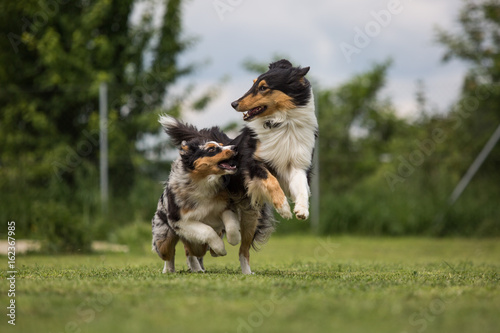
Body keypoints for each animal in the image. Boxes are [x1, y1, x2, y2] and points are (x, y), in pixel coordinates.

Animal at [153, 126, 274, 274]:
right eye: (211, 149)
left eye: (222, 145)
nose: (235, 147)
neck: (204, 183)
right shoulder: (180, 221)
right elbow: (207, 230)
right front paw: (220, 248)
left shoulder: (225, 206)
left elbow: (231, 226)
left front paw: (233, 240)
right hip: (164, 236)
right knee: (168, 253)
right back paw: (169, 270)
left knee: (190, 252)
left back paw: (197, 268)